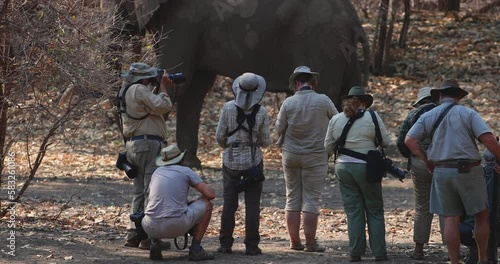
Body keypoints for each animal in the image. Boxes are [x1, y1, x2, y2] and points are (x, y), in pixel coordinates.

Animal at [114, 0, 372, 168]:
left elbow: (177, 79)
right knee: (347, 96)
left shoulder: (184, 22)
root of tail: (355, 22)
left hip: (323, 46)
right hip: (341, 52)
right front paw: (190, 164)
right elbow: (194, 89)